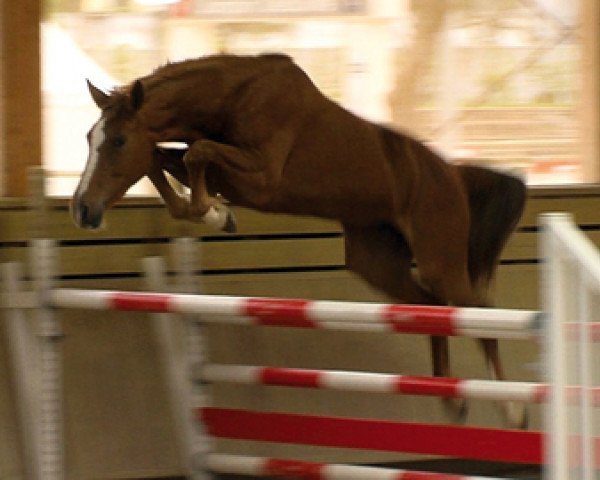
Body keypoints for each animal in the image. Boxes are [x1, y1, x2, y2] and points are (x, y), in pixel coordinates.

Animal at [72, 53, 528, 428]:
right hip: (375, 262)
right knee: (431, 308)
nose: (83, 210)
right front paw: (216, 214)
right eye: (89, 138)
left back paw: (511, 408)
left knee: (478, 313)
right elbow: (163, 159)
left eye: (118, 140)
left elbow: (193, 152)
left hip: (440, 260)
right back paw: (451, 399)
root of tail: (452, 175)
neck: (234, 97)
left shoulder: (260, 178)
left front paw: (214, 212)